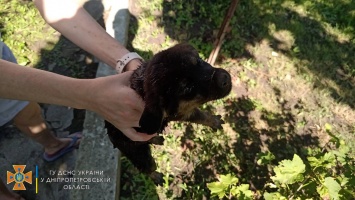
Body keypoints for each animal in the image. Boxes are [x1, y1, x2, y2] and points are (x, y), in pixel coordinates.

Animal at [105, 43, 234, 184]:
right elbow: (200, 116)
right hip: (136, 152)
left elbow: (203, 116)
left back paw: (155, 138)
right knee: (147, 168)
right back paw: (156, 176)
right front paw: (213, 121)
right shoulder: (182, 113)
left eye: (199, 61)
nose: (225, 78)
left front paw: (214, 121)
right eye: (187, 88)